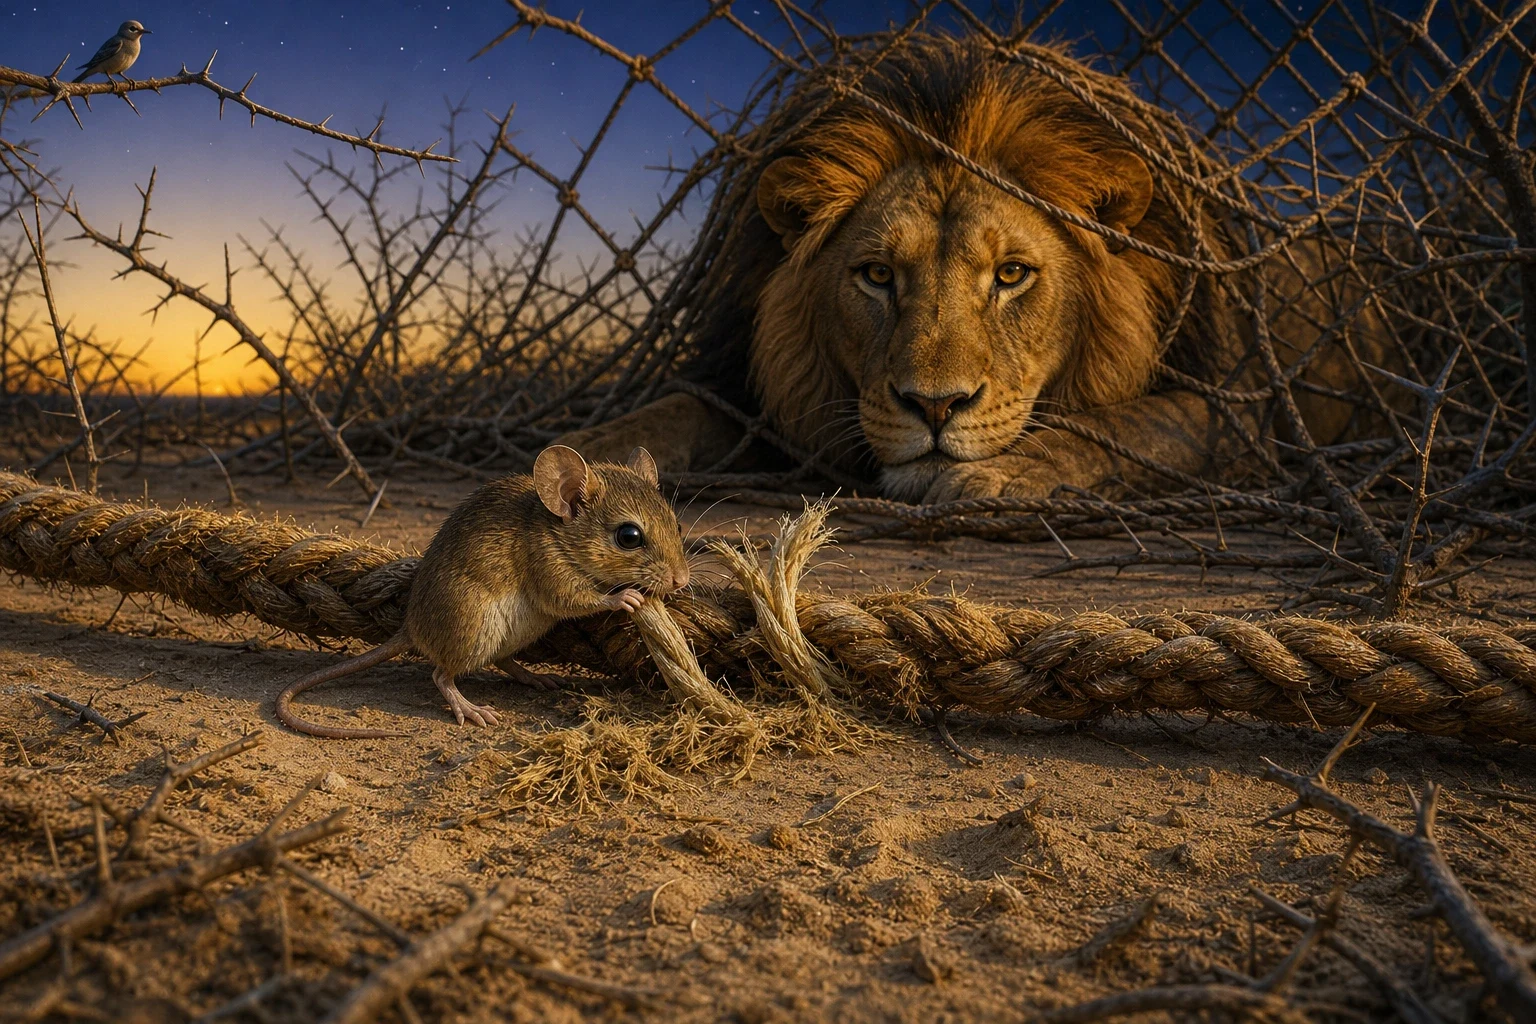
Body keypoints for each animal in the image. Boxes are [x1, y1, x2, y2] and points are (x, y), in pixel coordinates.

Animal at [558, 35, 1385, 501]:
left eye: (1012, 275)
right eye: (877, 276)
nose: (934, 407)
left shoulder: (1239, 412)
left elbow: (1141, 425)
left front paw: (1004, 472)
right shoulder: (750, 395)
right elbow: (664, 414)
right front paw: (569, 466)